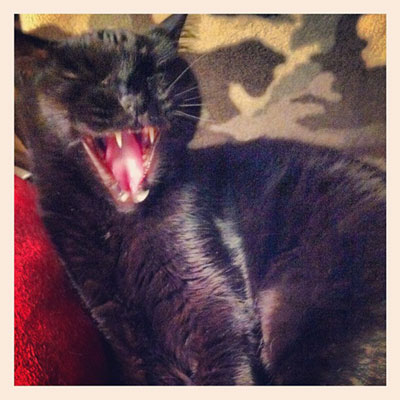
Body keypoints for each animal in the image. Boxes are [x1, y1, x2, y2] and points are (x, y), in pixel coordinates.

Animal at [15, 14, 386, 385]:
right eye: (82, 75)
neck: (124, 229)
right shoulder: (126, 337)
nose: (132, 96)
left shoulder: (214, 309)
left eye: (156, 70)